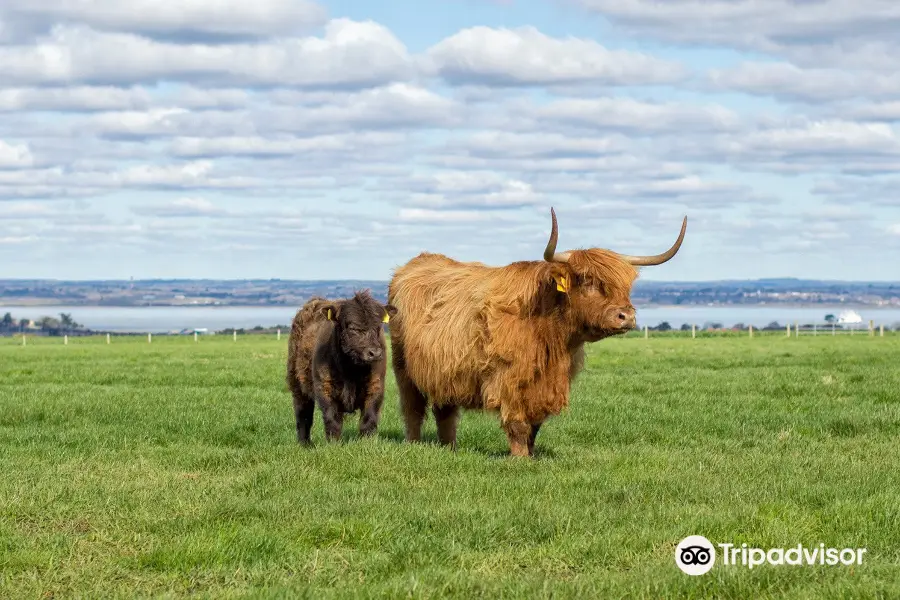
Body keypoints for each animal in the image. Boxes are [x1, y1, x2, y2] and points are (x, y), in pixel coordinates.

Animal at [284, 290, 398, 446]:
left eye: (379, 326)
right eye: (352, 327)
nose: (374, 353)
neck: (351, 371)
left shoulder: (376, 386)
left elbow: (369, 419)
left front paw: (367, 444)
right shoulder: (324, 387)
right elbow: (332, 419)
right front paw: (334, 444)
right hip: (296, 384)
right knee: (303, 415)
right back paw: (305, 444)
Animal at [386, 209, 688, 458]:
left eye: (626, 286)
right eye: (587, 280)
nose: (626, 316)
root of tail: (412, 265)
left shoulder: (546, 384)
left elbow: (535, 425)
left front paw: (531, 455)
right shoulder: (509, 378)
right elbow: (518, 424)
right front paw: (519, 459)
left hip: (445, 369)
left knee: (445, 411)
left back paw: (450, 448)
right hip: (403, 367)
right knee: (412, 408)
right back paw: (414, 444)